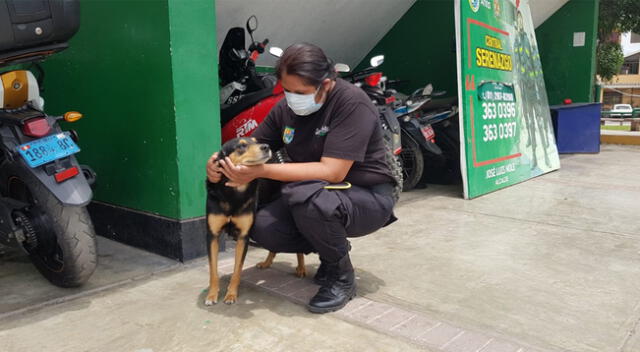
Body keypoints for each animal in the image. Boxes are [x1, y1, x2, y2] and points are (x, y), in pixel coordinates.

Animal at [205, 138, 304, 306]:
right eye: (241, 145)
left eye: (256, 141)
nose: (266, 146)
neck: (234, 193)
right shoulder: (212, 235)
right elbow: (213, 270)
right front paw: (212, 295)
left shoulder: (243, 236)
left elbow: (237, 270)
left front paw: (231, 294)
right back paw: (266, 263)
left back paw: (301, 268)